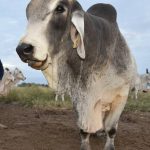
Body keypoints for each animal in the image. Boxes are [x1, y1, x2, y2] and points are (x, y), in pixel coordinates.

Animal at [15, 0, 137, 149]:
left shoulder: (121, 96)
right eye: (28, 14)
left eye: (60, 8)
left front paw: (109, 145)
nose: (23, 49)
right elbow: (83, 130)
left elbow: (111, 129)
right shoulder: (79, 97)